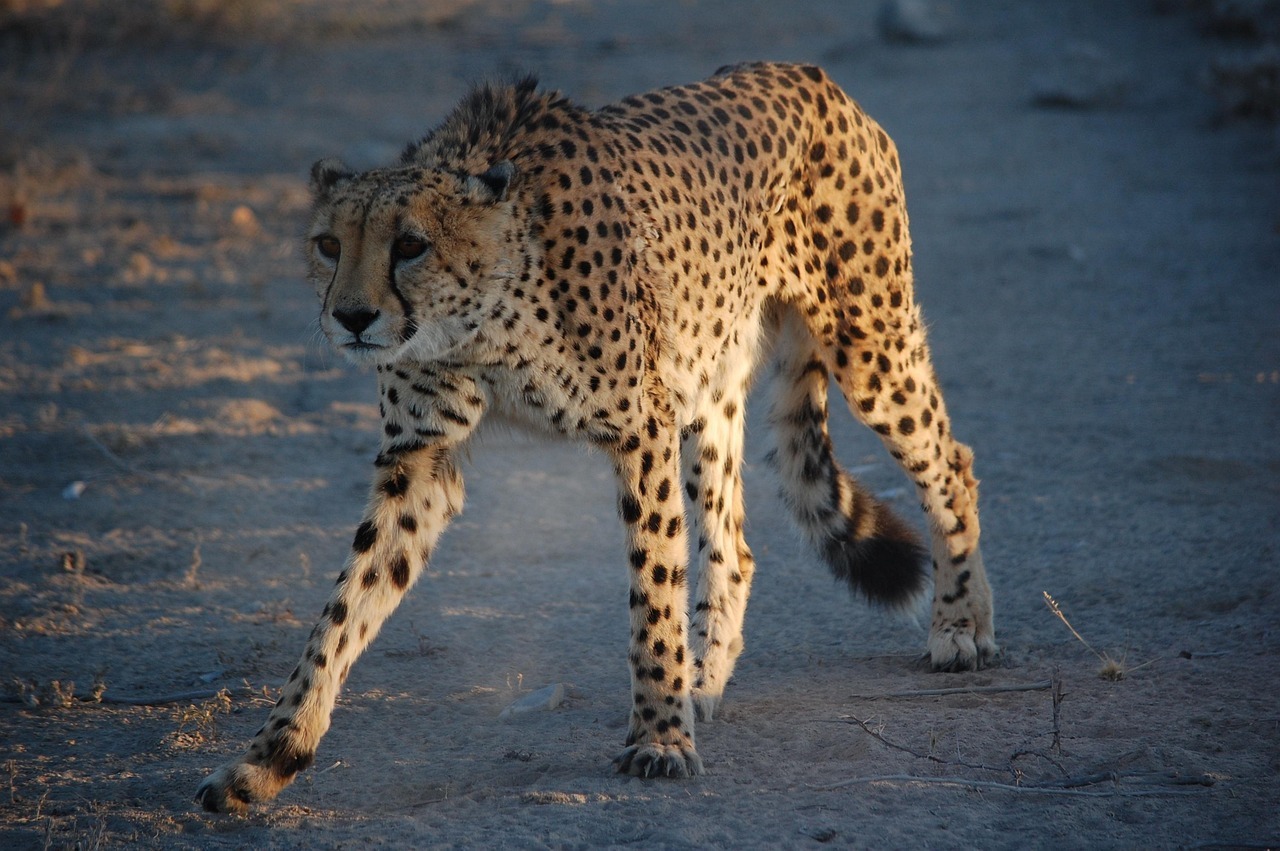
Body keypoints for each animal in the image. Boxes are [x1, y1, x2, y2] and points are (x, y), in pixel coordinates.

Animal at [195, 61, 996, 813]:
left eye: (411, 246)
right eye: (329, 244)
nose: (352, 317)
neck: (481, 318)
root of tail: (809, 76)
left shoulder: (641, 427)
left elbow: (654, 587)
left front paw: (661, 737)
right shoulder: (420, 457)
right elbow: (342, 609)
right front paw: (268, 756)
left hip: (867, 343)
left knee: (951, 461)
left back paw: (960, 623)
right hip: (709, 382)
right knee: (731, 544)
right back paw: (706, 677)